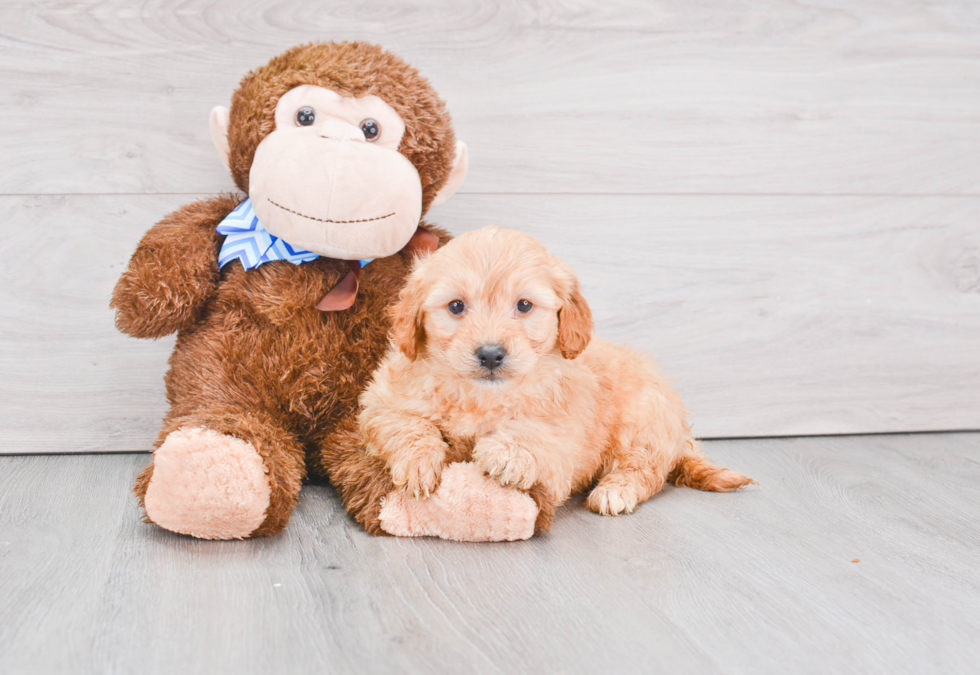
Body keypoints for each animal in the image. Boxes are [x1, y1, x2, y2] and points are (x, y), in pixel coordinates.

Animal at [358, 227, 752, 524]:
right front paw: (419, 463)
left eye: (524, 306)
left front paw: (506, 453)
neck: (483, 395)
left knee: (645, 470)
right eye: (456, 306)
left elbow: (538, 433)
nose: (490, 354)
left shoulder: (566, 434)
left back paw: (615, 490)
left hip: (644, 419)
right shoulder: (383, 400)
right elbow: (408, 424)